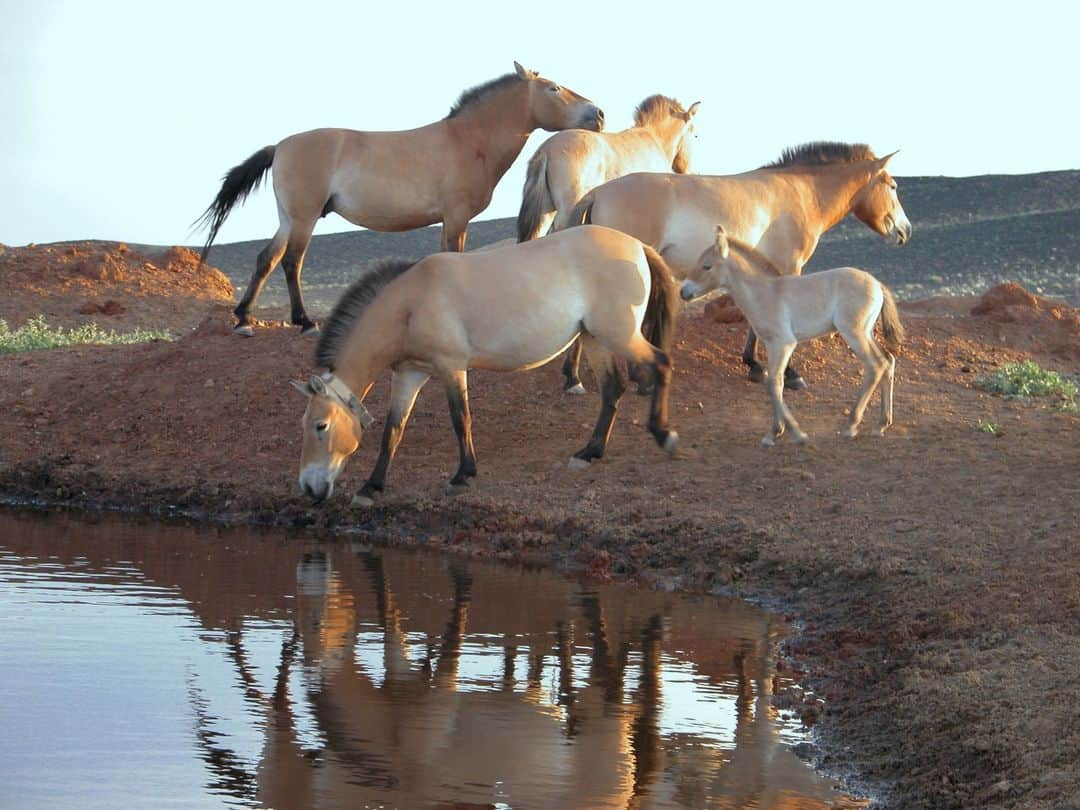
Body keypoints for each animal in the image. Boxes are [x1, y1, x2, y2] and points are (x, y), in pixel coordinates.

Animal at [193, 61, 600, 336]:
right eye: (553, 88)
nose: (597, 114)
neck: (466, 142)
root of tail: (279, 147)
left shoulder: (451, 220)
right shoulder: (456, 217)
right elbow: (453, 258)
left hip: (289, 218)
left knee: (267, 258)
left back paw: (244, 319)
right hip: (304, 218)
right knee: (291, 261)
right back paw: (304, 322)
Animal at [291, 225, 678, 507]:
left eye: (321, 426)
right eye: (305, 425)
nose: (308, 487)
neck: (410, 304)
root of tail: (637, 246)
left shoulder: (451, 368)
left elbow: (460, 419)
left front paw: (463, 475)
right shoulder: (409, 374)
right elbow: (393, 431)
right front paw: (371, 487)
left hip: (619, 335)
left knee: (660, 365)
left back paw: (664, 435)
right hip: (595, 338)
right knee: (613, 388)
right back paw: (589, 453)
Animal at [565, 141, 911, 393]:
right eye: (893, 186)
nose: (904, 231)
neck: (800, 192)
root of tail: (598, 193)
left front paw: (753, 364)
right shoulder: (789, 267)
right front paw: (790, 373)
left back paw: (575, 378)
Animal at [682, 225, 902, 447]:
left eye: (707, 266)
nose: (684, 292)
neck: (765, 293)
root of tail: (877, 284)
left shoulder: (784, 343)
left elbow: (773, 383)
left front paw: (788, 433)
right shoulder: (771, 344)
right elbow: (775, 383)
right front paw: (779, 432)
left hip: (854, 333)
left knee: (876, 366)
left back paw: (851, 425)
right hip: (866, 333)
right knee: (888, 360)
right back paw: (881, 425)